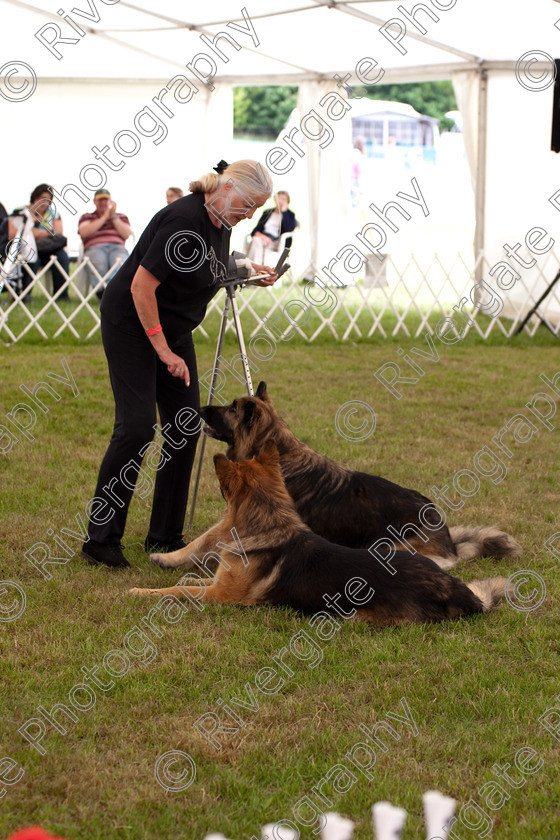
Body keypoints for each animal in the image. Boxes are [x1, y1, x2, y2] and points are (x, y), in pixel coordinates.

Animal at [131, 442, 508, 628]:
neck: (269, 521)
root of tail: (457, 590)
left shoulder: (222, 596)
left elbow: (179, 589)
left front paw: (139, 591)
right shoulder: (219, 584)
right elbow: (190, 579)